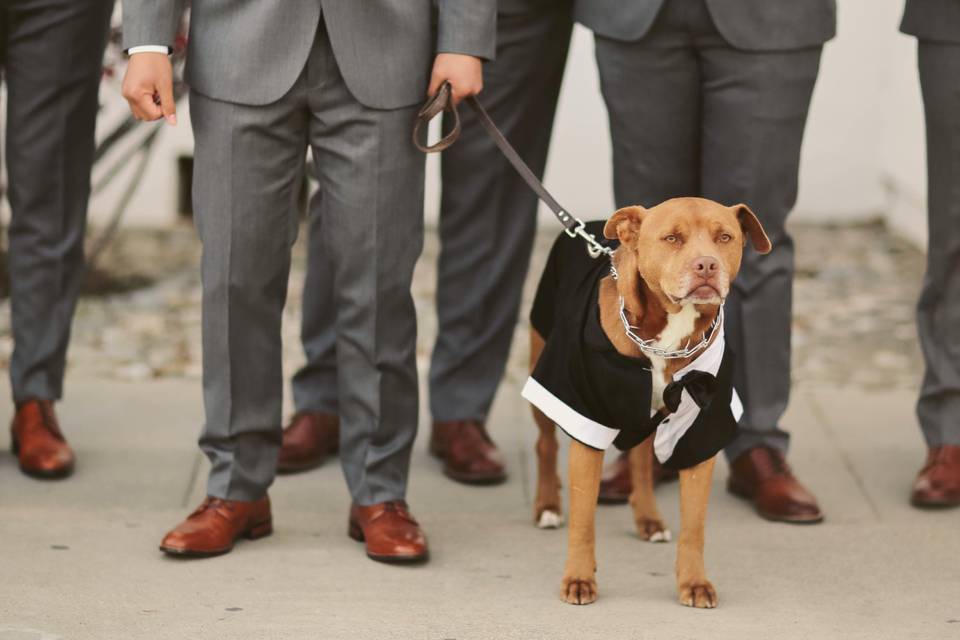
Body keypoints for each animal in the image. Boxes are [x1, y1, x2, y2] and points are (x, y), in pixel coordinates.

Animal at [524, 198, 772, 608]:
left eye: (725, 237)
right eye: (672, 238)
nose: (707, 265)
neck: (665, 337)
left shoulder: (701, 426)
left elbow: (694, 525)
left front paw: (694, 582)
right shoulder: (585, 416)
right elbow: (583, 519)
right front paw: (578, 578)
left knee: (640, 460)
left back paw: (648, 518)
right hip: (543, 361)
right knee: (545, 444)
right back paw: (546, 506)